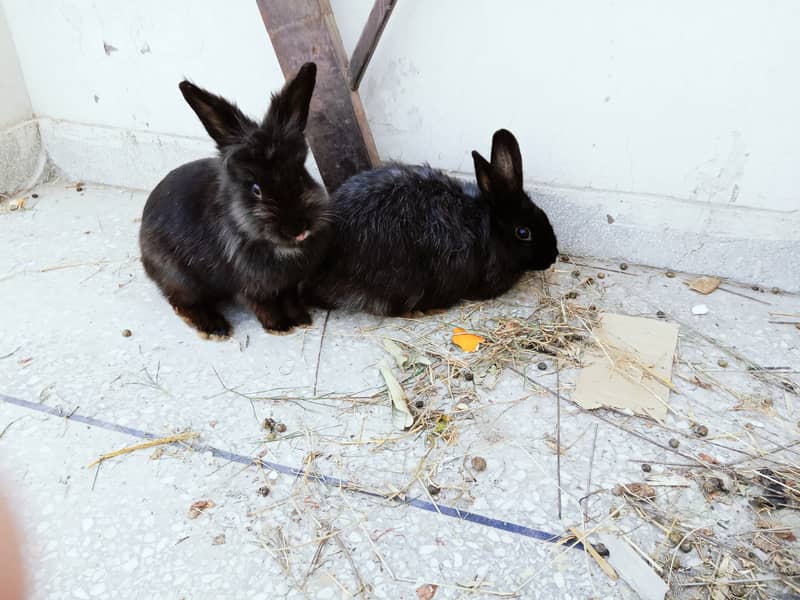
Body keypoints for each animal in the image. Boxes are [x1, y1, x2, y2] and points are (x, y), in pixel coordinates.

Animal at [139, 64, 330, 342]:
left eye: (300, 174)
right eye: (256, 189)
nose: (297, 229)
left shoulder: (290, 283)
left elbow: (290, 298)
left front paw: (301, 319)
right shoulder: (247, 286)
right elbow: (263, 306)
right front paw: (279, 327)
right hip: (181, 279)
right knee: (182, 304)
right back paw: (216, 328)